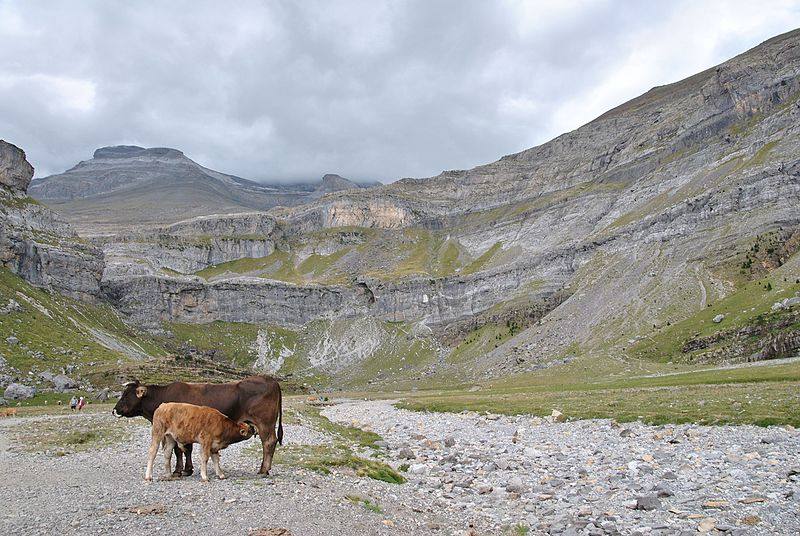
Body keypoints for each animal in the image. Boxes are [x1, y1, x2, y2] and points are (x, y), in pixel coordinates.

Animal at [112, 374, 282, 476]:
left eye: (126, 395)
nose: (114, 410)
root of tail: (269, 379)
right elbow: (185, 450)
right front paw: (187, 469)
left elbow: (180, 450)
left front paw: (180, 471)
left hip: (265, 423)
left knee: (268, 442)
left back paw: (263, 469)